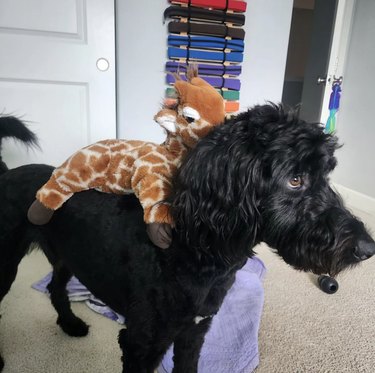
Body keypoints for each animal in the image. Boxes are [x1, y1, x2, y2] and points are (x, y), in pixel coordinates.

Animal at [0, 105, 374, 372]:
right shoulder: (140, 345)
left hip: (67, 257)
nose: (368, 248)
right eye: (295, 179)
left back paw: (70, 324)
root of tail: (7, 172)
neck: (197, 251)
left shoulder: (193, 334)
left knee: (55, 287)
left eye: (327, 176)